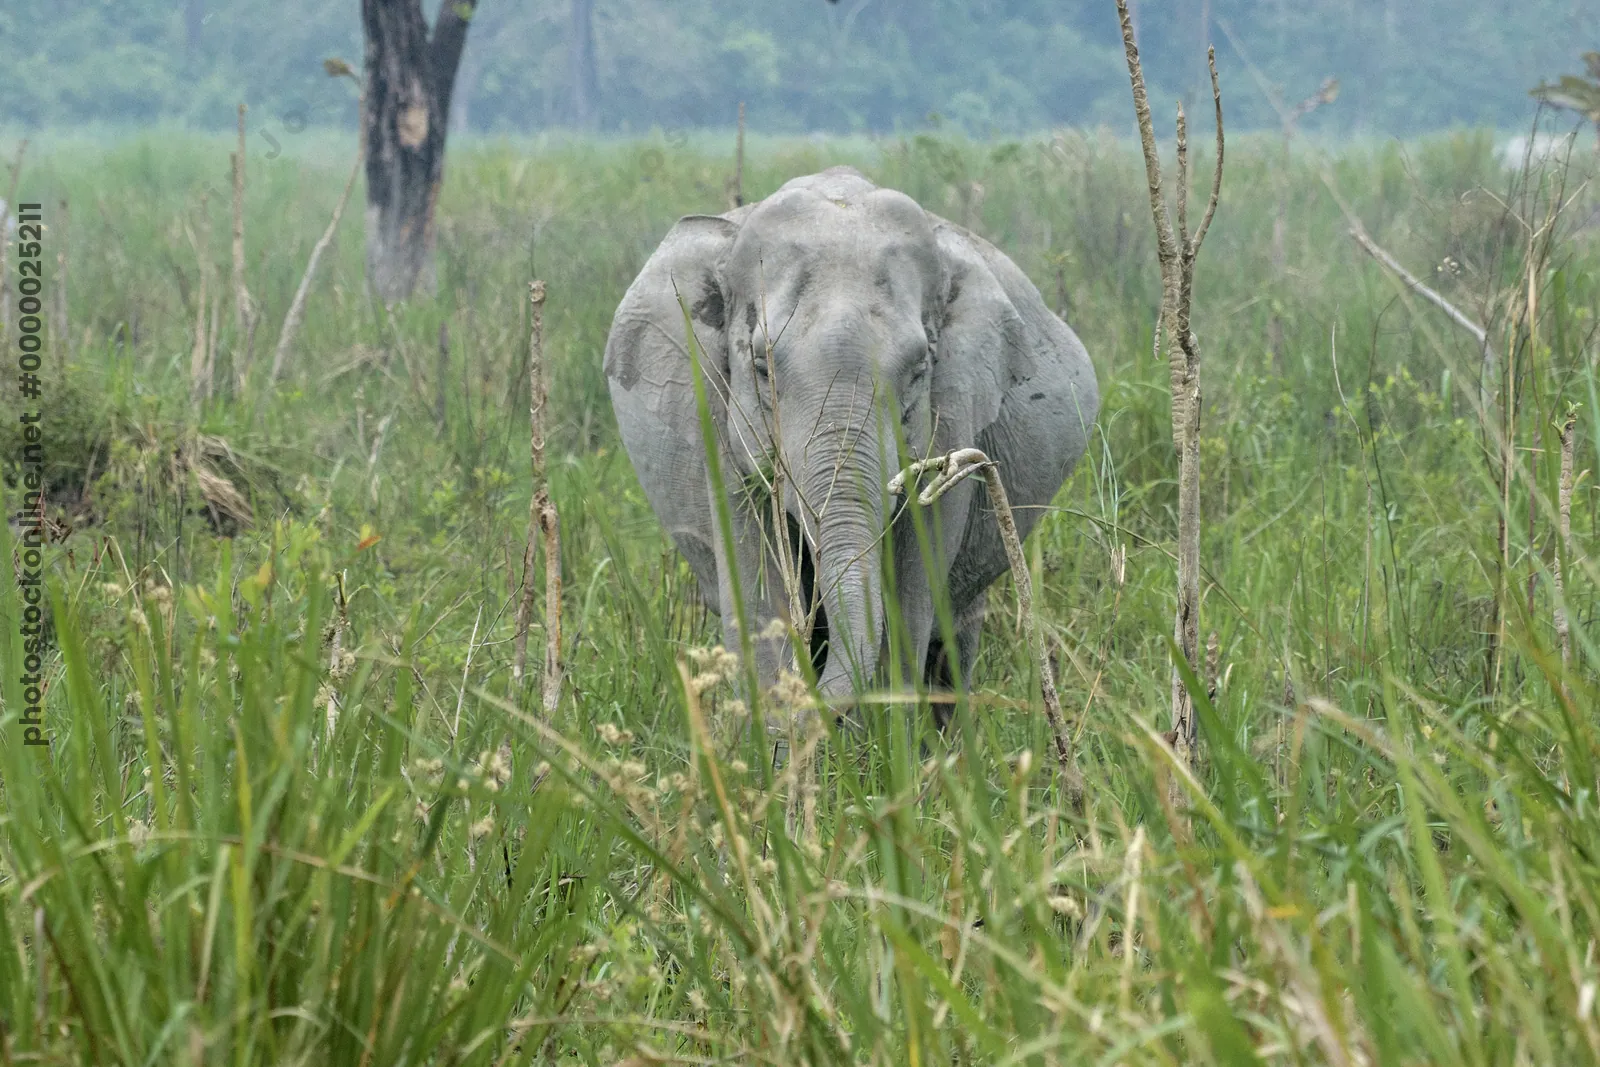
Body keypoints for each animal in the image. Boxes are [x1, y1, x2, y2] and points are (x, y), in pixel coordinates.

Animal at [604, 166, 1098, 722]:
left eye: (920, 370)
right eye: (761, 367)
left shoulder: (954, 416)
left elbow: (912, 594)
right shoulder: (716, 419)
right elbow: (757, 596)